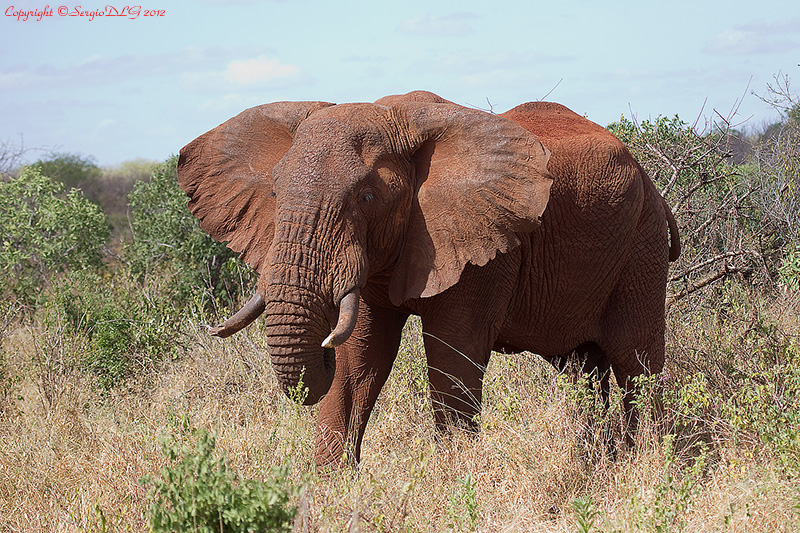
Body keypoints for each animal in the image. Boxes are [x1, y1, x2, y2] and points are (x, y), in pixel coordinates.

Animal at [177, 90, 680, 468]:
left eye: (366, 197)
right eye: (275, 192)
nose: (321, 349)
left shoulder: (484, 247)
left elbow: (451, 362)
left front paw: (456, 482)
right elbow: (359, 362)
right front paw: (328, 492)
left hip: (642, 247)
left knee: (636, 364)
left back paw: (648, 467)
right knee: (583, 371)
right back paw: (598, 463)